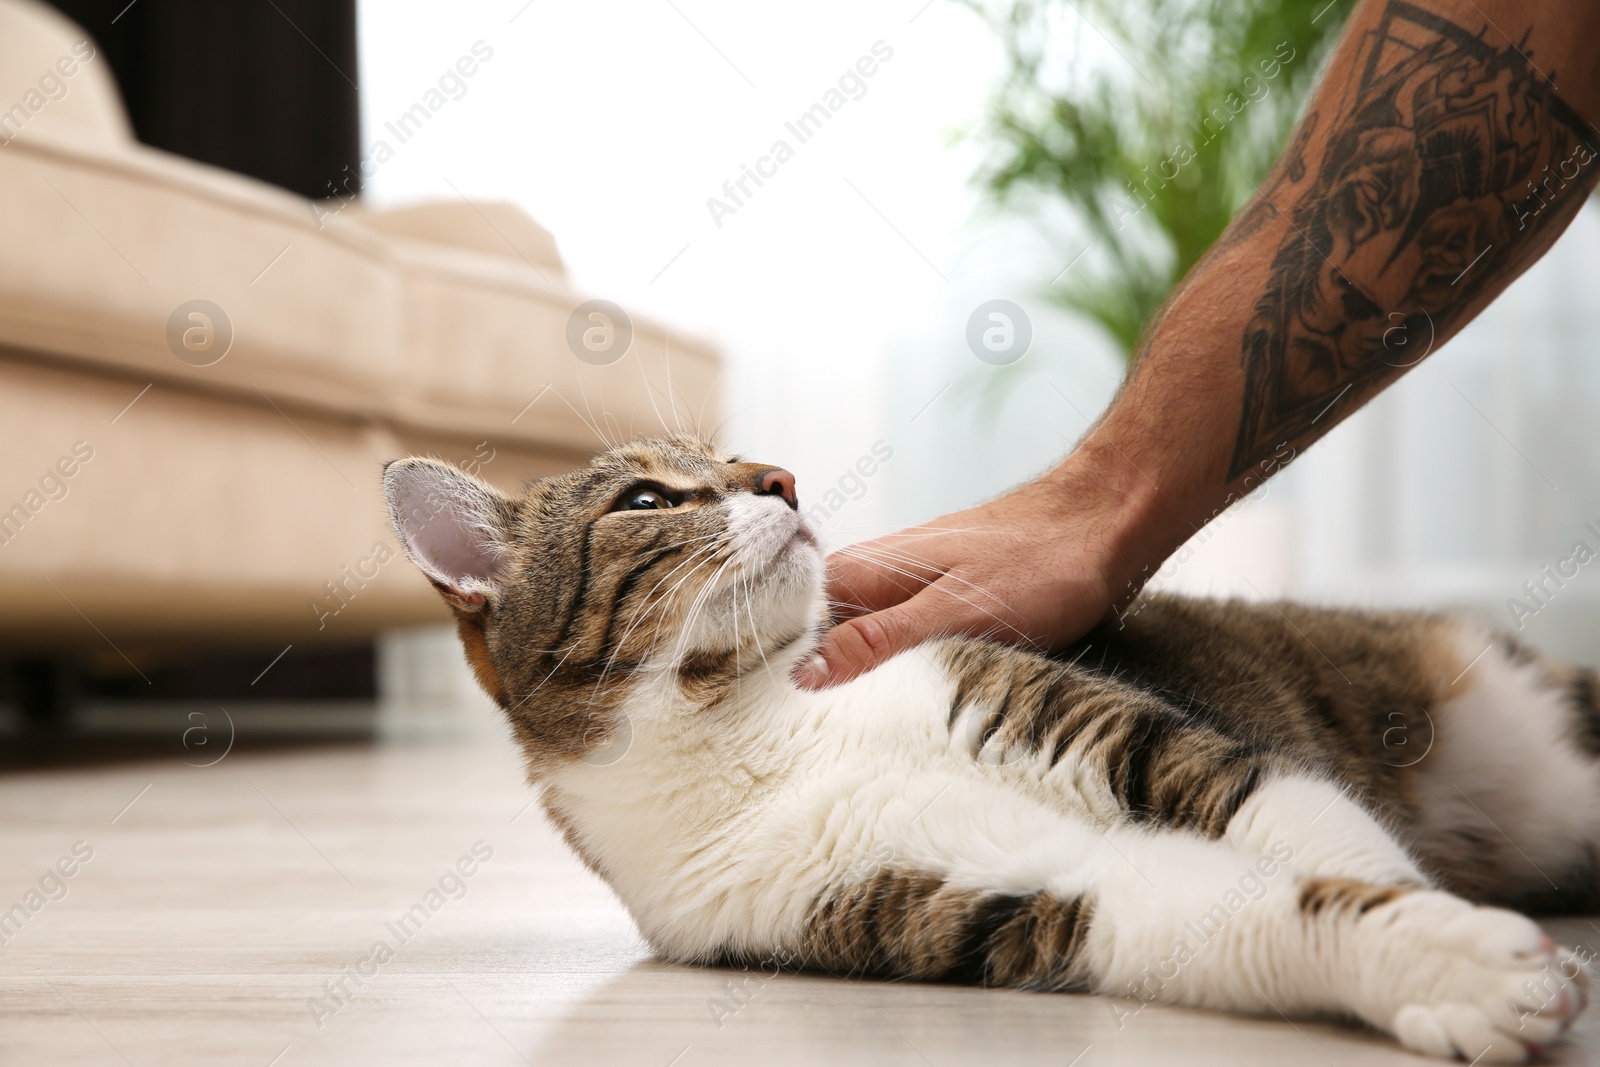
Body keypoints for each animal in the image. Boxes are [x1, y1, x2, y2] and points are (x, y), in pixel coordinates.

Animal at [380, 435, 1593, 1062]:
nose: (780, 478)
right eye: (644, 495)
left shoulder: (1073, 715)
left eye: (736, 460)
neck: (752, 726)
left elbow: (1299, 823)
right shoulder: (979, 892)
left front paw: (1469, 942)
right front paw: (1452, 970)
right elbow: (1216, 908)